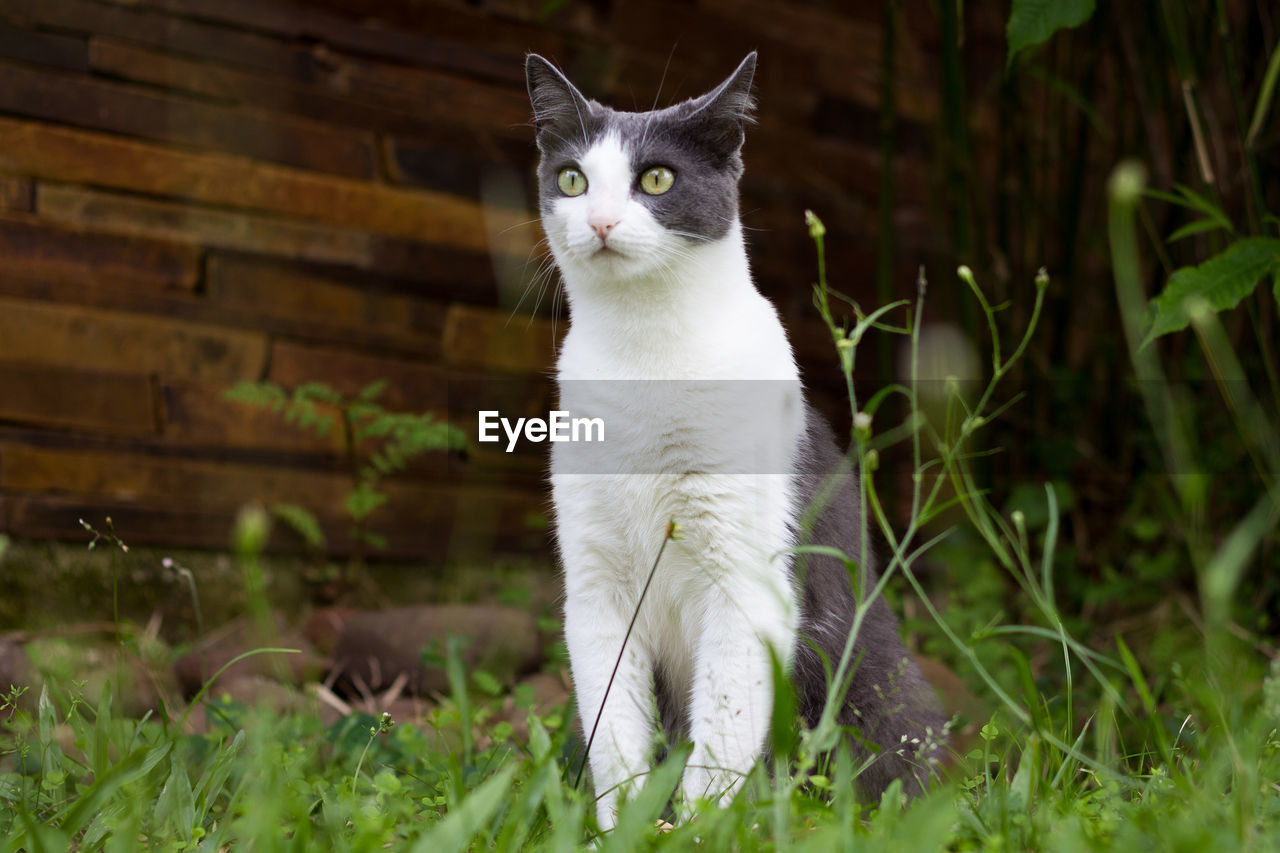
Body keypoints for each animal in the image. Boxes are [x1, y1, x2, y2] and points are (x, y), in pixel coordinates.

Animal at [524, 49, 947, 824]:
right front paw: (620, 826)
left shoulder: (746, 582)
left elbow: (721, 728)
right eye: (572, 179)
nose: (599, 220)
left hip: (878, 687)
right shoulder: (595, 584)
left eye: (656, 178)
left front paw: (692, 828)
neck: (646, 355)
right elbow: (614, 729)